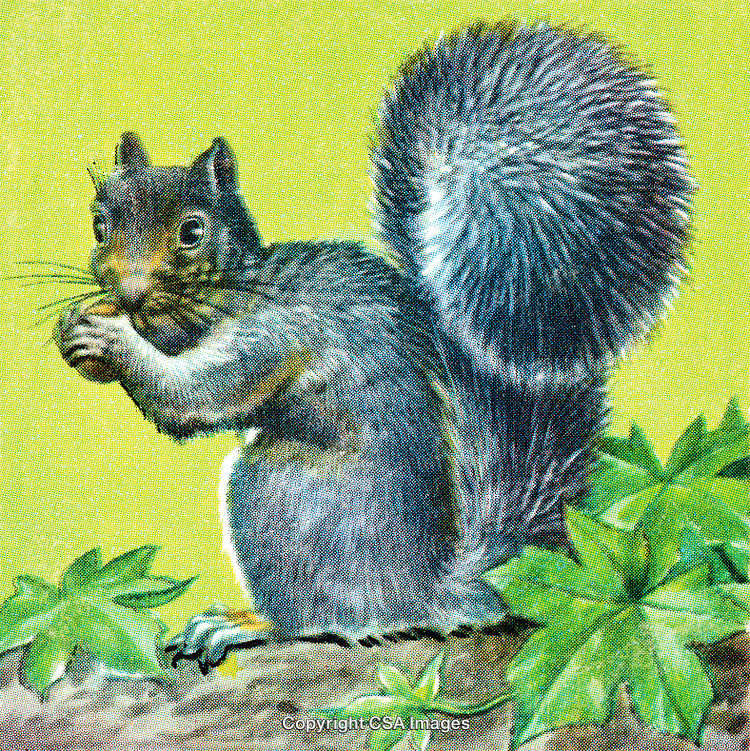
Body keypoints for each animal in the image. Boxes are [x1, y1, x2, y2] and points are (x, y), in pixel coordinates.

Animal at [54, 22, 693, 668]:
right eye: (99, 224)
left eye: (192, 231)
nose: (129, 293)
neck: (236, 285)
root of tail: (428, 587)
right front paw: (78, 334)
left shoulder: (278, 331)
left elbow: (195, 395)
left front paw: (115, 341)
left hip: (282, 500)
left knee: (323, 617)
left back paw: (249, 623)